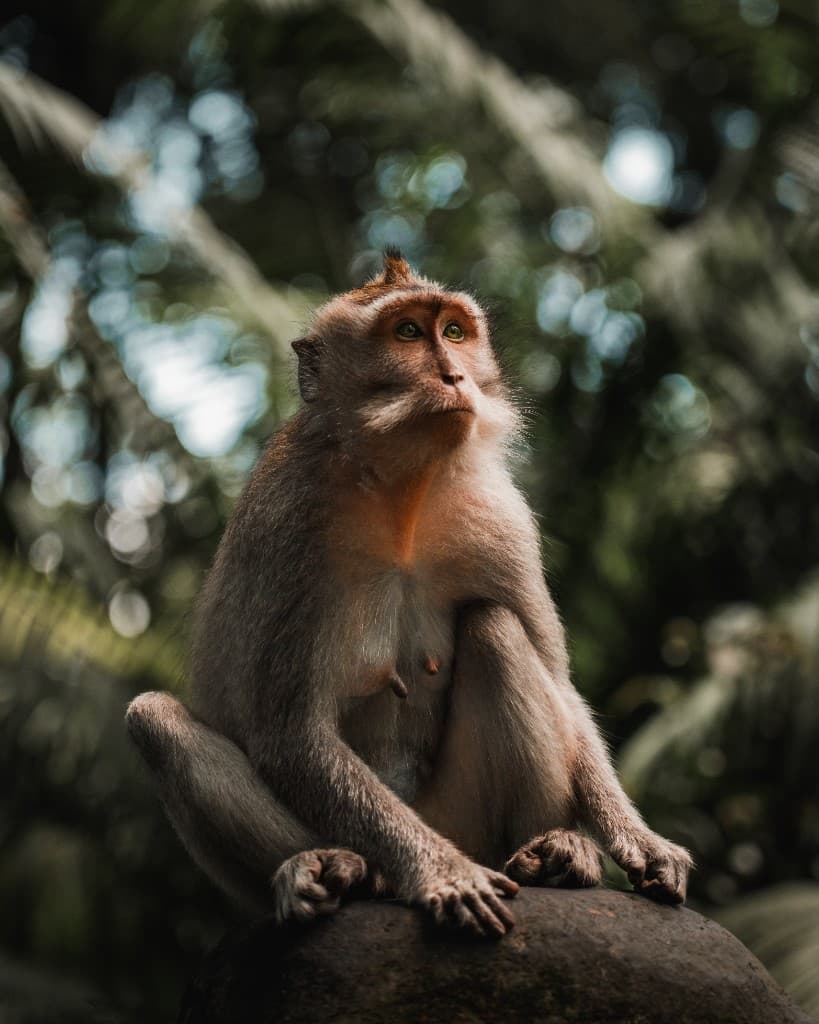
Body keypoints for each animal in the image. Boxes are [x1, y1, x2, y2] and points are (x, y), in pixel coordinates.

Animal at [126, 249, 692, 938]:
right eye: (406, 334)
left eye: (453, 332)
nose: (454, 373)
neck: (403, 493)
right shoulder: (285, 526)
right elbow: (290, 732)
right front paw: (440, 873)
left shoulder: (500, 516)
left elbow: (561, 687)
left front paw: (640, 839)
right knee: (154, 720)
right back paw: (333, 869)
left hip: (465, 820)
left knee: (495, 627)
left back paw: (556, 853)